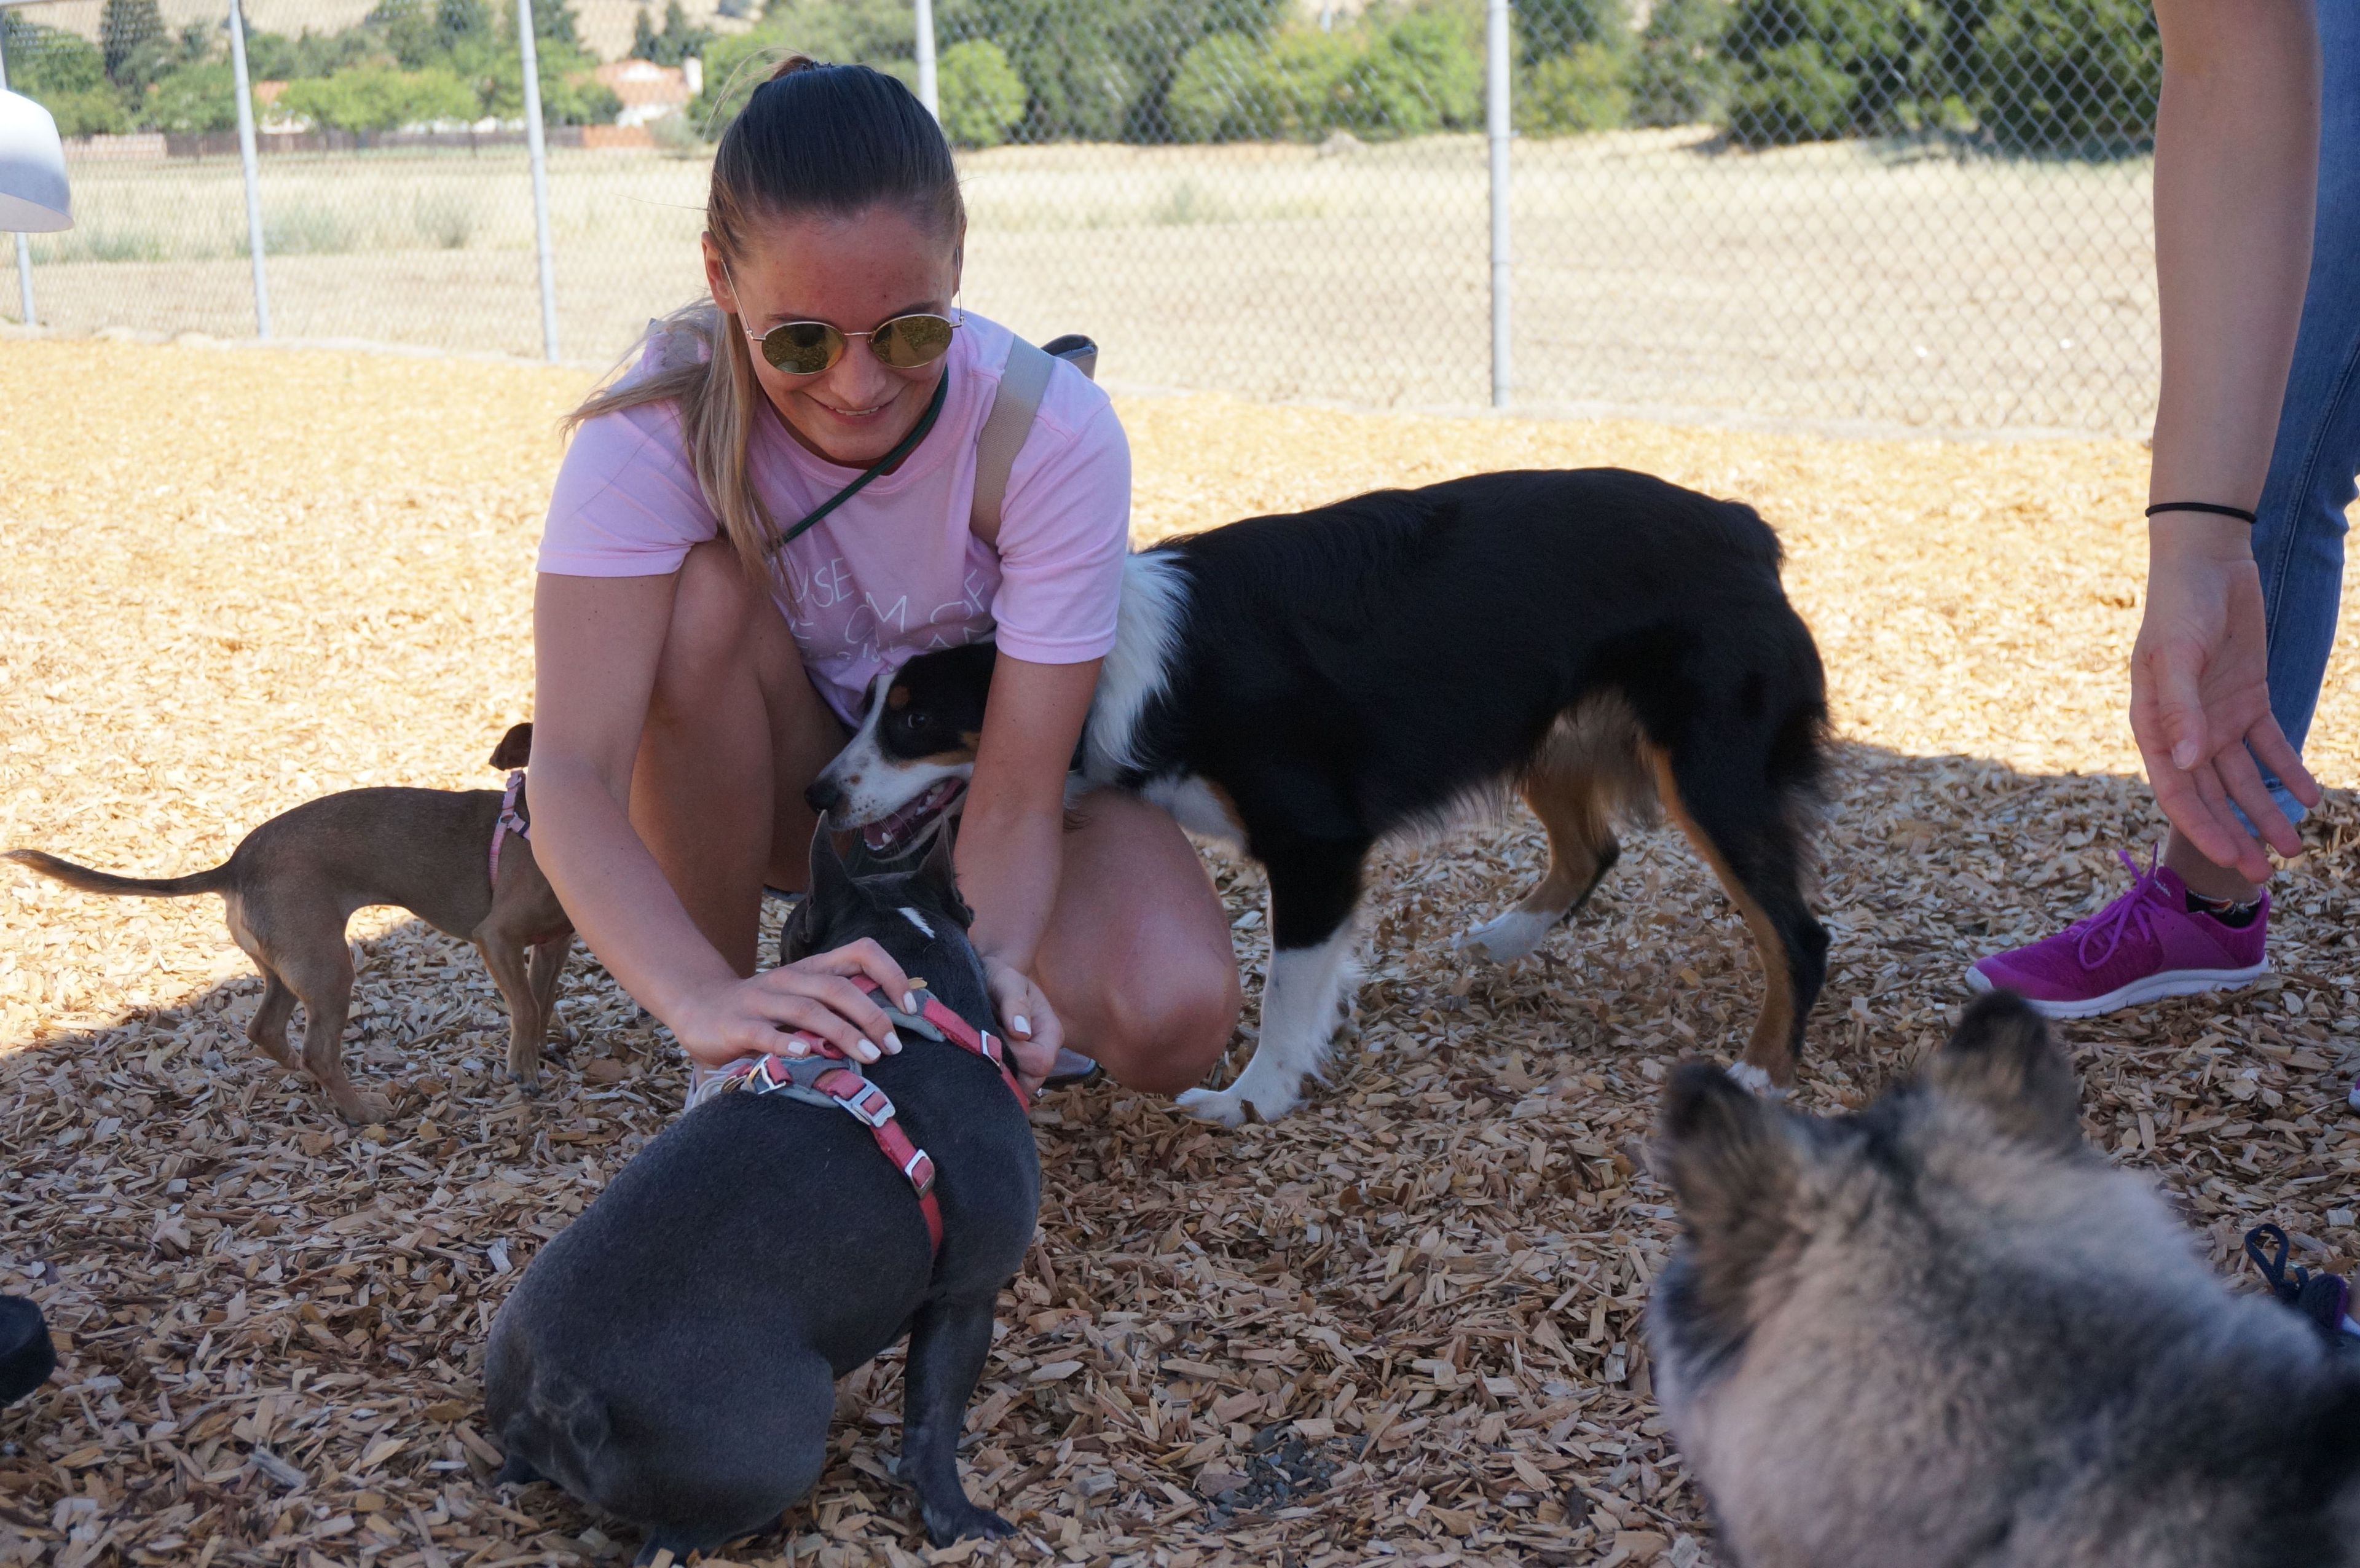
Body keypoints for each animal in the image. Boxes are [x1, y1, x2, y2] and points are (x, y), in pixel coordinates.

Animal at [10, 726, 575, 1118]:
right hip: (330, 970)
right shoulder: (495, 937)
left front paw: (535, 1053)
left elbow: (541, 1002)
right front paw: (523, 1068)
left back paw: (312, 1083)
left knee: (266, 1031)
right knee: (318, 1051)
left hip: (290, 966)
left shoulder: (553, 946)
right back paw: (362, 1112)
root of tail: (236, 865)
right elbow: (526, 1007)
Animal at [807, 471, 1822, 1118]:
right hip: (1540, 722)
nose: (817, 793)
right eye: (868, 706)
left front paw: (1252, 1099)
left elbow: (1287, 989)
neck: (1115, 666)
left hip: (1710, 772)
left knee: (1798, 931)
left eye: (913, 721)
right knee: (1591, 850)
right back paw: (1499, 940)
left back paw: (1761, 1073)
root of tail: (1743, 525)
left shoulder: (1316, 846)